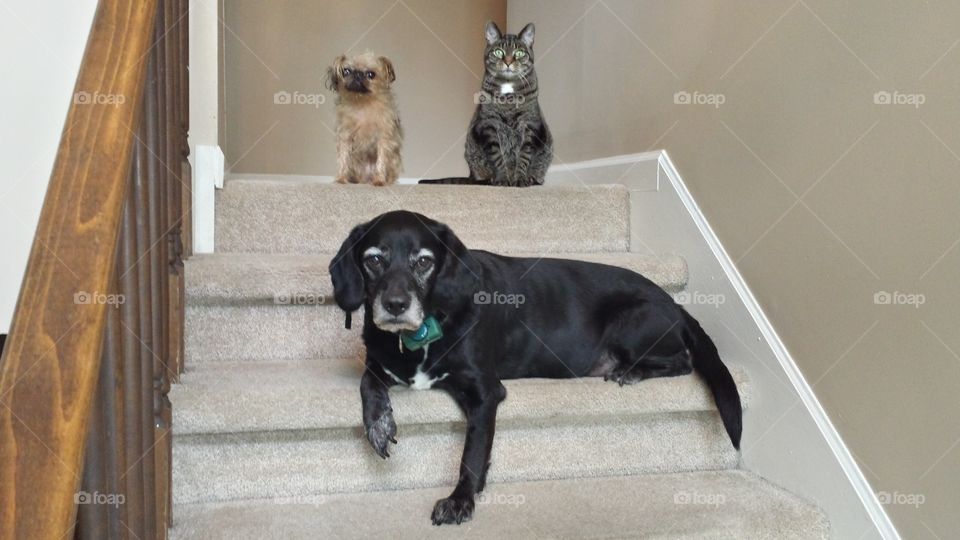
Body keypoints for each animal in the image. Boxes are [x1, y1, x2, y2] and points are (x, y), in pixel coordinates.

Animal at [326, 52, 402, 187]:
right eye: (346, 71)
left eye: (371, 74)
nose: (357, 74)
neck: (362, 103)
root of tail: (366, 179)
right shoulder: (345, 137)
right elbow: (343, 158)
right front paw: (341, 179)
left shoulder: (384, 139)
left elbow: (381, 160)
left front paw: (379, 181)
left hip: (394, 161)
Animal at [330, 210, 744, 524]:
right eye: (373, 259)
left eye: (424, 262)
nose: (395, 305)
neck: (418, 337)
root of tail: (675, 303)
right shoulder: (379, 361)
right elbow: (369, 381)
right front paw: (379, 424)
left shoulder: (485, 391)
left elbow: (472, 453)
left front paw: (461, 500)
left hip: (632, 322)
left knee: (683, 360)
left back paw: (632, 371)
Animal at [422, 21, 556, 188]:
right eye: (498, 52)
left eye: (519, 53)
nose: (508, 62)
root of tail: (471, 175)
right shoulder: (489, 124)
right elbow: (497, 156)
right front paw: (502, 179)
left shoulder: (530, 124)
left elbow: (524, 155)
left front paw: (520, 179)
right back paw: (489, 180)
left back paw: (533, 179)